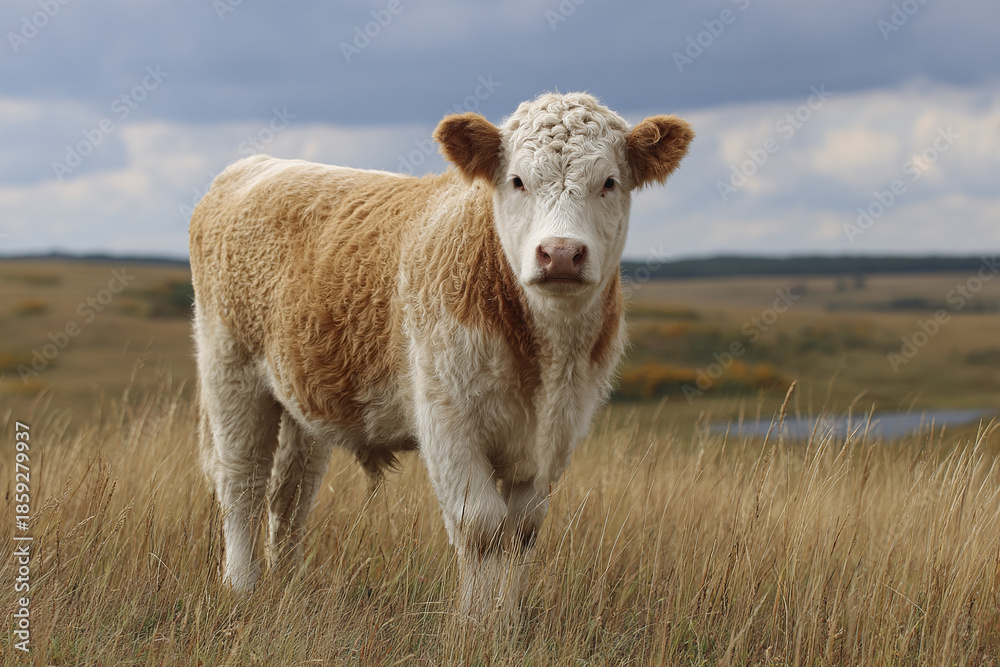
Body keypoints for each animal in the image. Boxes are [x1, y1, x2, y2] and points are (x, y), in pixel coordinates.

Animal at [189, 92, 693, 619]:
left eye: (609, 182)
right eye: (518, 180)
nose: (560, 253)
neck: (544, 359)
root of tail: (256, 166)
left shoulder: (556, 432)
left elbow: (522, 531)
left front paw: (505, 621)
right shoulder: (447, 419)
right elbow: (482, 527)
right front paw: (474, 623)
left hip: (301, 402)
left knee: (290, 493)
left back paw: (288, 584)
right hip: (230, 372)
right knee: (242, 483)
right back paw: (243, 586)